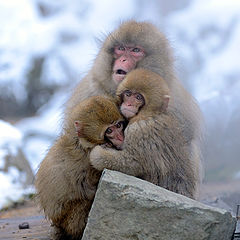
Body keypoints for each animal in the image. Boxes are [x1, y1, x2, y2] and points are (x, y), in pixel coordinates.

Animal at [35, 96, 125, 240]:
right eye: (109, 131)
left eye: (118, 125)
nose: (120, 137)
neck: (82, 142)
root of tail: (57, 224)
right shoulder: (91, 157)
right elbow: (87, 188)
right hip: (72, 220)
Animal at [90, 69, 199, 199]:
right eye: (128, 94)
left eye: (138, 97)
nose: (129, 104)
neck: (150, 114)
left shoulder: (139, 130)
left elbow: (132, 163)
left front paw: (97, 155)